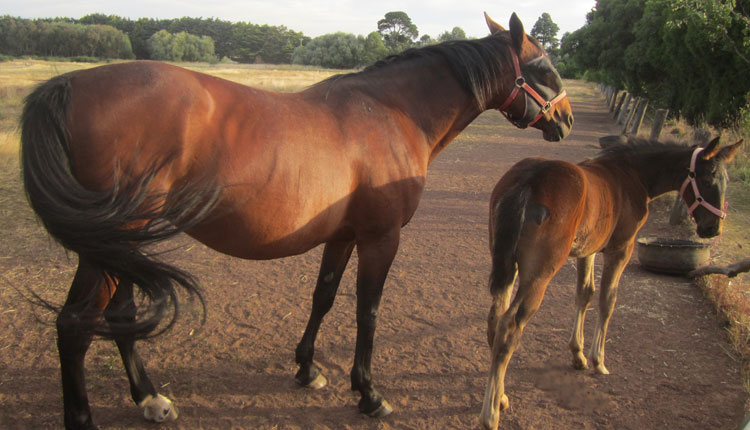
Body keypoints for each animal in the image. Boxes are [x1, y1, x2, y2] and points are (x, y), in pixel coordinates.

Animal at [22, 11, 576, 428]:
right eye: (544, 67)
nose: (567, 120)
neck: (392, 111)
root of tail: (68, 84)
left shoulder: (344, 235)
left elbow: (324, 296)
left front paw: (307, 368)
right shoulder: (380, 238)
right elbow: (367, 311)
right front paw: (368, 394)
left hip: (119, 244)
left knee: (118, 316)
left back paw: (149, 399)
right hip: (112, 243)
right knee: (74, 326)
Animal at [478, 135, 744, 430]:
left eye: (726, 181)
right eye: (708, 179)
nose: (713, 228)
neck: (632, 175)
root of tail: (528, 181)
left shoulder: (588, 249)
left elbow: (585, 294)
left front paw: (578, 355)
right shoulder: (621, 249)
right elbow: (608, 299)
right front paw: (598, 360)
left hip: (507, 263)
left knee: (496, 319)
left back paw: (501, 396)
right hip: (539, 273)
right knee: (510, 326)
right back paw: (490, 414)